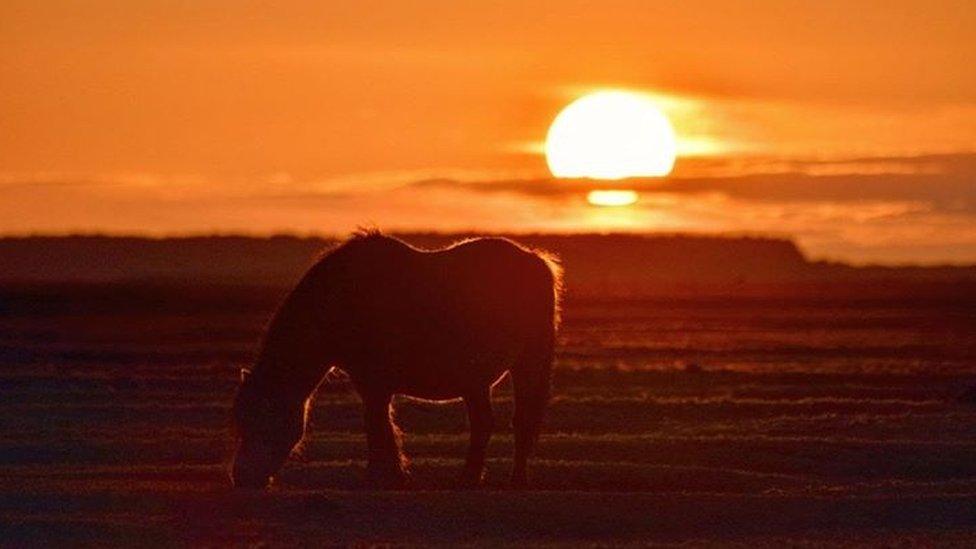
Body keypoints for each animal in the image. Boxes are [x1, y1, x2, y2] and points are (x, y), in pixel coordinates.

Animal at [230, 231, 560, 488]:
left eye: (263, 419)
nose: (242, 479)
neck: (339, 301)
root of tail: (534, 260)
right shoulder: (372, 384)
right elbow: (380, 425)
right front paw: (389, 474)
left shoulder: (373, 383)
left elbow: (378, 425)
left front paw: (382, 476)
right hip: (476, 382)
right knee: (486, 423)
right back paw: (474, 478)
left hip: (527, 365)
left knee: (520, 420)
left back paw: (509, 480)